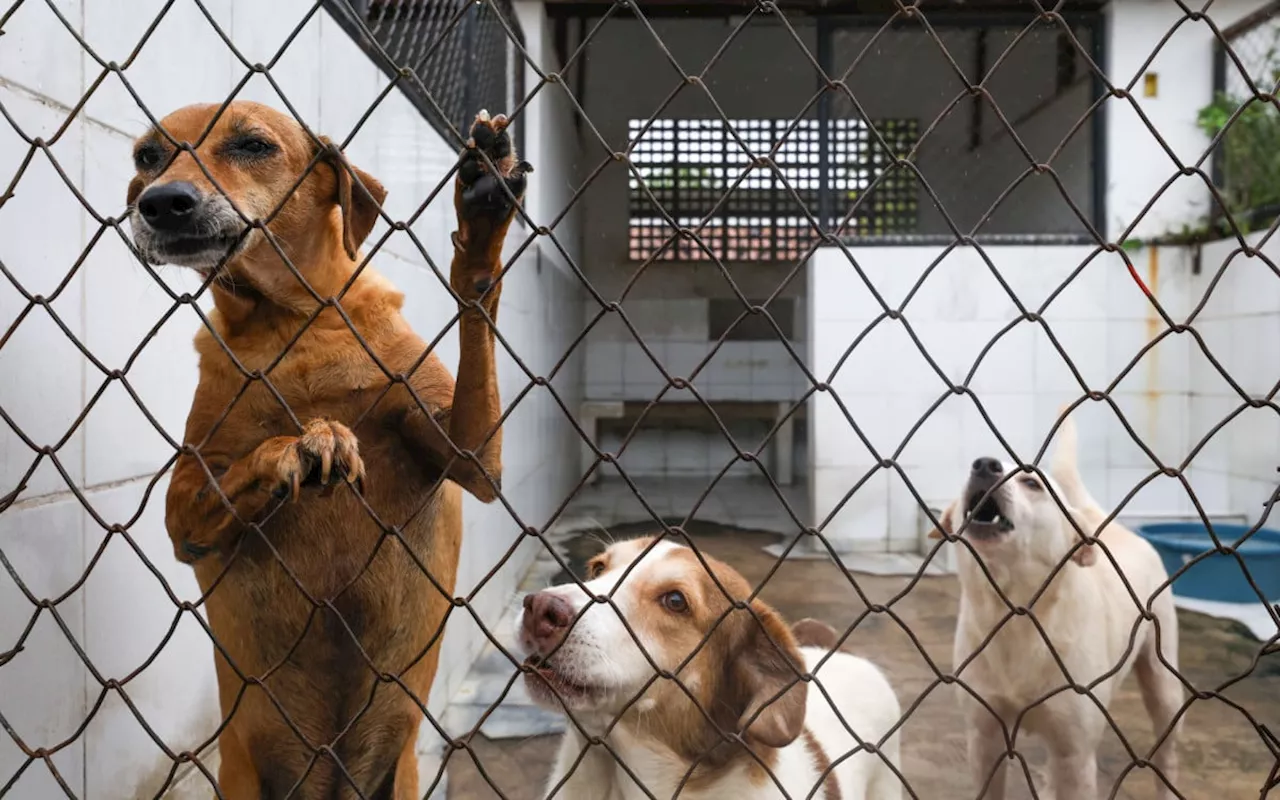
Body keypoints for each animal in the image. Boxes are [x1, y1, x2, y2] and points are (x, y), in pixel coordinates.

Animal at [127, 101, 527, 798]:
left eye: (252, 144)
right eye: (147, 156)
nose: (161, 202)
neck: (292, 325)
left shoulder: (473, 455)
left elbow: (476, 296)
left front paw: (481, 216)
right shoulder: (184, 522)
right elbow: (251, 462)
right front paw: (307, 443)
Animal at [931, 412, 1177, 798]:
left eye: (1032, 482)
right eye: (973, 470)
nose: (984, 464)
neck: (1016, 613)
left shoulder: (1074, 753)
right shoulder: (984, 739)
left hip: (1164, 686)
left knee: (1166, 754)